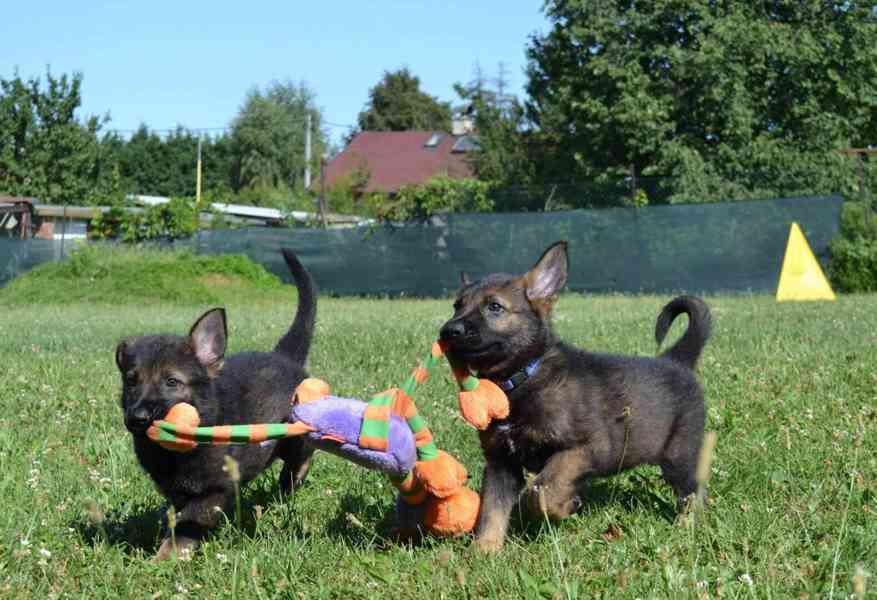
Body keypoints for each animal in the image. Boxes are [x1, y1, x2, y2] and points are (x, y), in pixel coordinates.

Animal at [114, 247, 316, 556]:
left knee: (301, 460)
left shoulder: (215, 491)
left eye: (172, 382)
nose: (137, 419)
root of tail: (283, 356)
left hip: (295, 438)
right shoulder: (178, 492)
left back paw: (289, 484)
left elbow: (186, 525)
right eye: (131, 382)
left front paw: (166, 556)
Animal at [438, 241, 712, 552]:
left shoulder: (587, 447)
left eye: (494, 307)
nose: (448, 331)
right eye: (457, 306)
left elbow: (542, 491)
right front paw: (485, 551)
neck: (522, 378)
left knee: (692, 492)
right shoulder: (500, 463)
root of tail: (675, 359)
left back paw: (686, 527)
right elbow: (491, 512)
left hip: (679, 455)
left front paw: (564, 506)